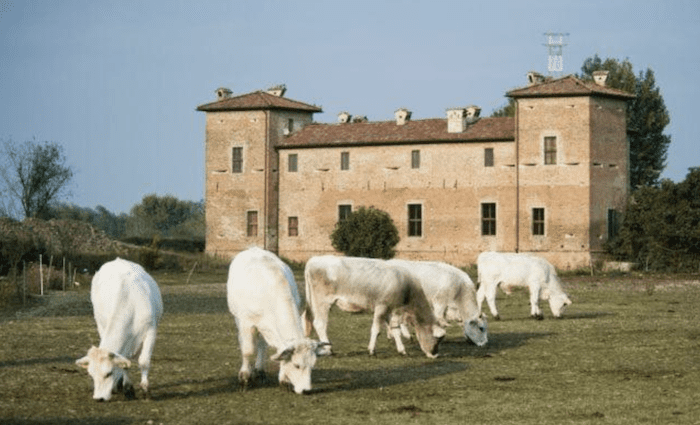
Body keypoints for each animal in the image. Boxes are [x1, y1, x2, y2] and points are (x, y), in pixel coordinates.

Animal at [76, 256, 163, 400]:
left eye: (109, 373)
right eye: (91, 375)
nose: (99, 398)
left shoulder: (151, 331)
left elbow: (144, 361)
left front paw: (145, 389)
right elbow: (125, 362)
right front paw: (128, 389)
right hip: (100, 323)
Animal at [226, 247, 326, 392]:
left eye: (312, 366)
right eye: (296, 365)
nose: (306, 390)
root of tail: (253, 248)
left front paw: (284, 379)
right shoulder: (247, 323)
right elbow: (248, 350)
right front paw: (244, 379)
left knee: (262, 344)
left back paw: (260, 371)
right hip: (238, 317)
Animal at [302, 255, 442, 358]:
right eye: (437, 339)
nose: (435, 354)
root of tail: (314, 259)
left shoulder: (390, 309)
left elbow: (395, 329)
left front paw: (401, 350)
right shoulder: (381, 306)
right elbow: (376, 329)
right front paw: (371, 350)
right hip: (322, 302)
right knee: (319, 324)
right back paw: (329, 349)